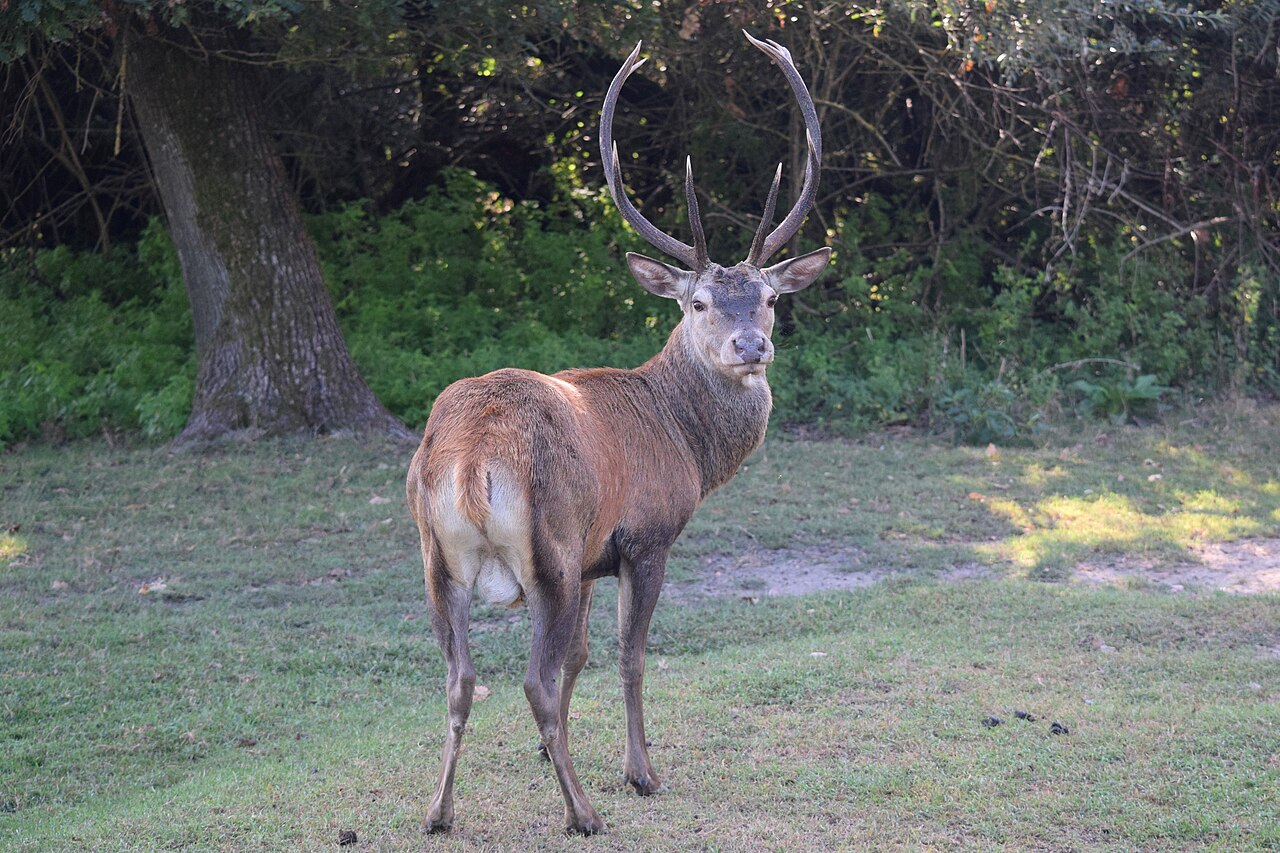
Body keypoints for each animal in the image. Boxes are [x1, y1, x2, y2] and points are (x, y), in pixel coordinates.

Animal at [405, 32, 829, 836]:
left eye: (768, 298)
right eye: (698, 304)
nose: (750, 347)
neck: (684, 440)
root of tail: (470, 462)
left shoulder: (593, 562)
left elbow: (581, 659)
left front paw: (551, 756)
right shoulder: (644, 537)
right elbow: (629, 656)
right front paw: (640, 772)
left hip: (438, 559)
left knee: (460, 678)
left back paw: (440, 811)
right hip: (548, 550)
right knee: (529, 680)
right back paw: (585, 812)